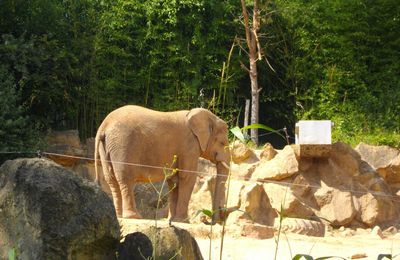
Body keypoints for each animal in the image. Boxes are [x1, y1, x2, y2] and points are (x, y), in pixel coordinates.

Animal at [94, 105, 231, 223]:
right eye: (222, 143)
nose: (210, 221)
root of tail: (104, 126)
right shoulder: (189, 145)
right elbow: (187, 177)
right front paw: (184, 221)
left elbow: (174, 180)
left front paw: (172, 220)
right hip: (123, 144)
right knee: (125, 179)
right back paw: (134, 217)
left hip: (108, 146)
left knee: (111, 180)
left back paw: (119, 216)